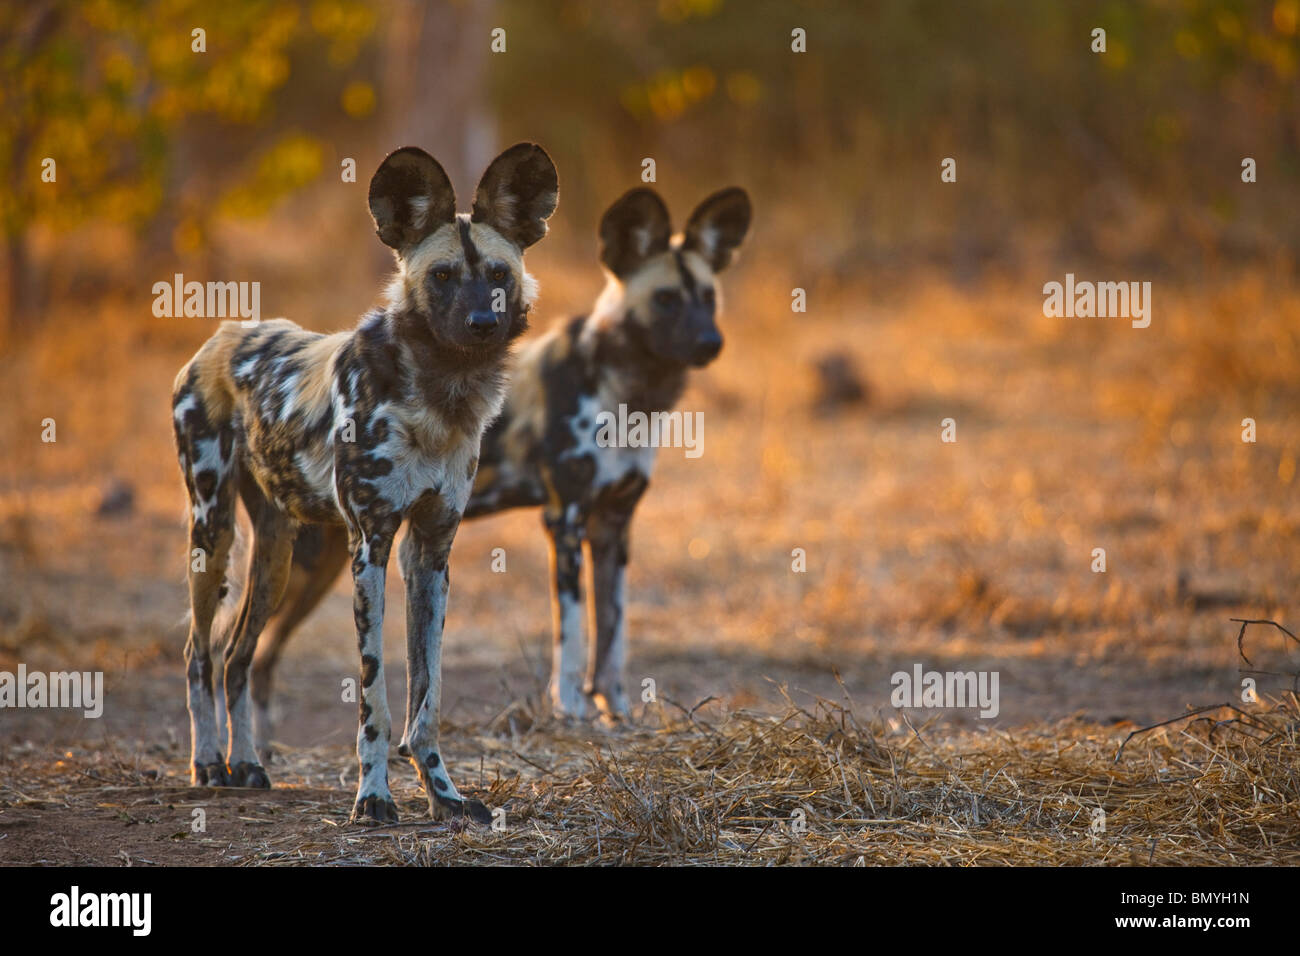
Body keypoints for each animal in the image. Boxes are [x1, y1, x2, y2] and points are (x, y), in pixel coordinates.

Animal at [170, 141, 556, 822]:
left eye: (499, 275)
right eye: (442, 277)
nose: (482, 322)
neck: (440, 394)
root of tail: (223, 335)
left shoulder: (431, 551)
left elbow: (427, 697)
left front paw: (444, 795)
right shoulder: (370, 546)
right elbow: (376, 697)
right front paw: (373, 798)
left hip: (276, 558)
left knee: (238, 656)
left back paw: (247, 764)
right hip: (212, 533)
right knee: (199, 653)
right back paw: (209, 762)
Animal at [243, 180, 754, 749]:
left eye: (708, 299)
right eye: (665, 300)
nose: (711, 343)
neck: (627, 392)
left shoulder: (613, 527)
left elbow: (613, 638)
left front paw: (618, 716)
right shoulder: (565, 520)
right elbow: (572, 639)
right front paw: (572, 713)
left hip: (324, 561)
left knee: (258, 658)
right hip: (311, 563)